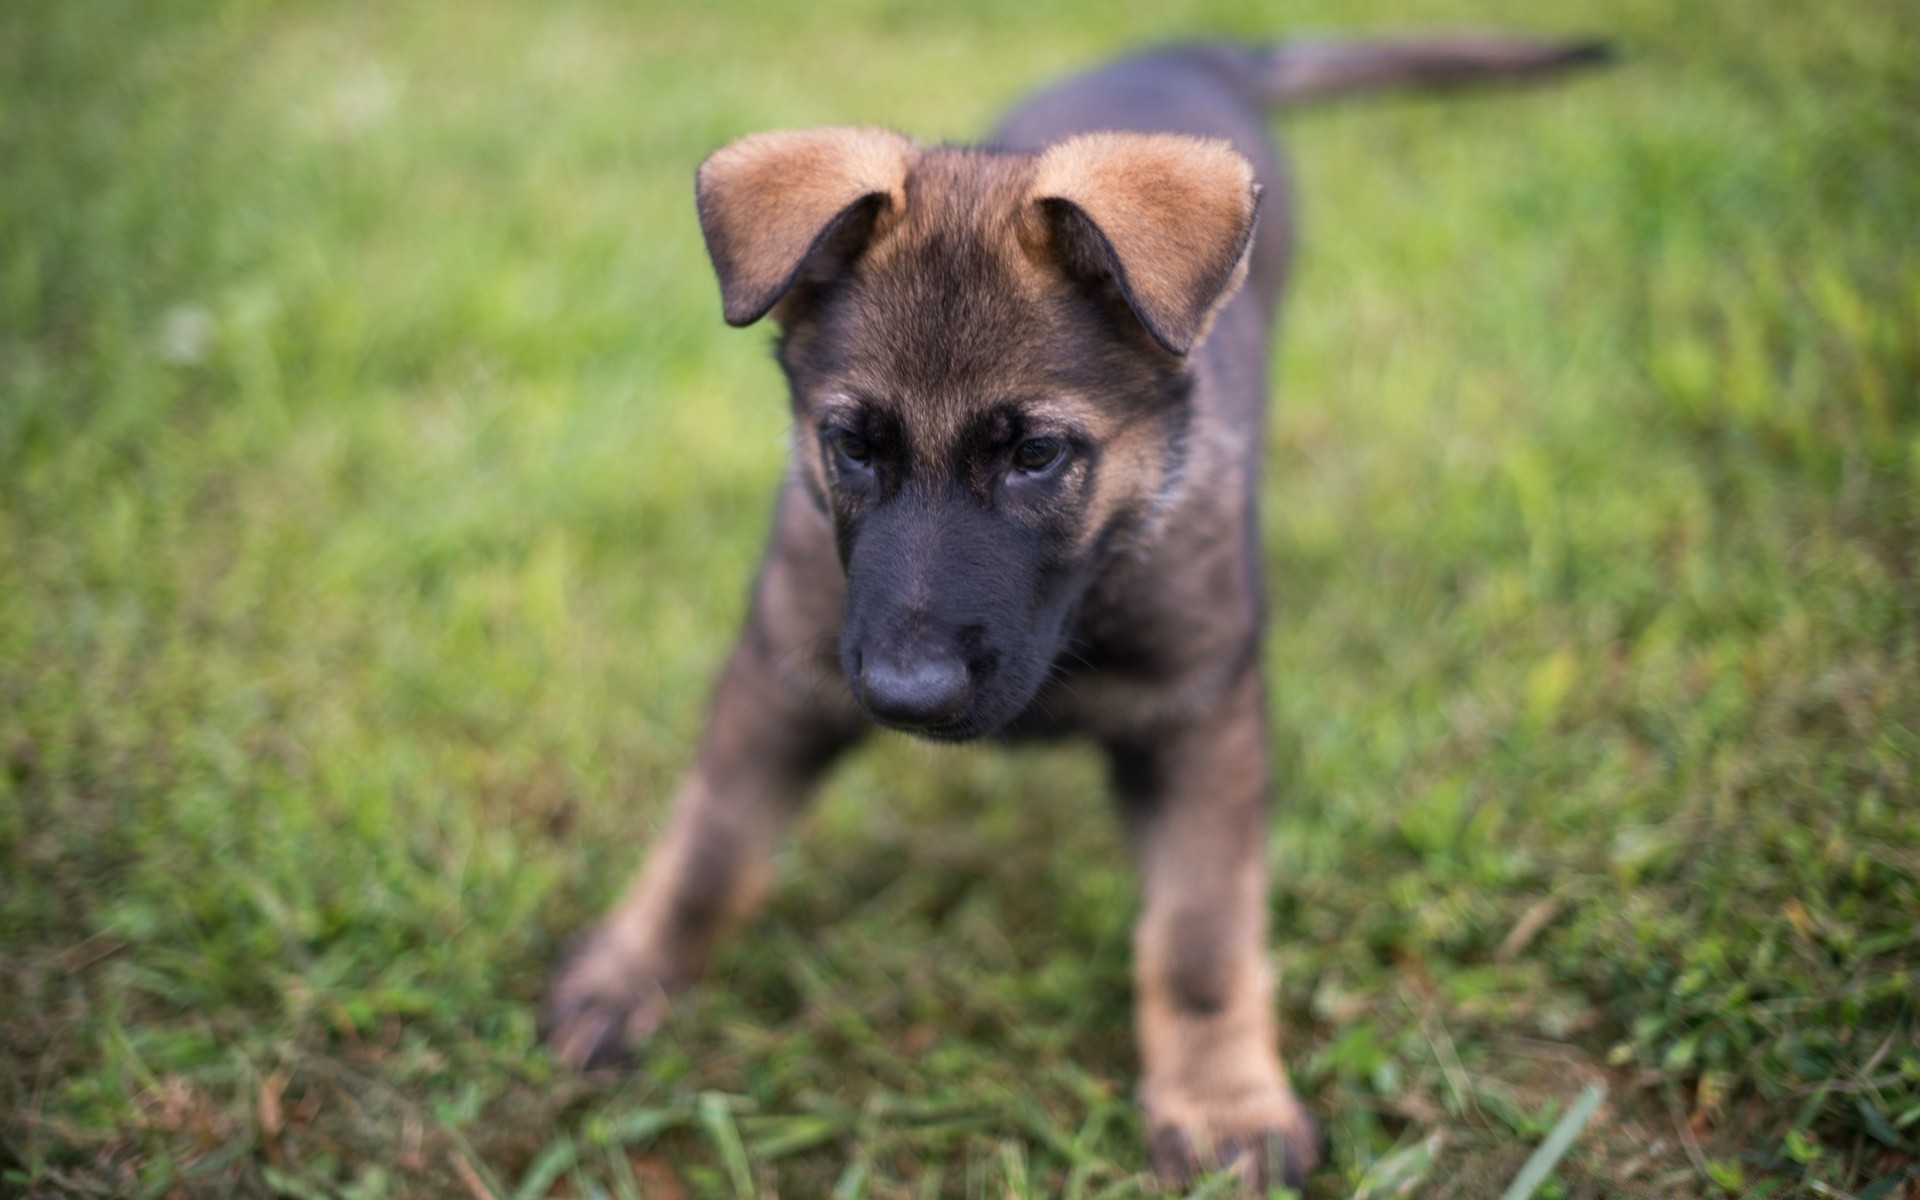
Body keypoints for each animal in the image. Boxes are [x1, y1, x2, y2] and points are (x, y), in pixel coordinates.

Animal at [545, 32, 1605, 1182]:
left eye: (1038, 456)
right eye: (853, 445)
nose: (907, 697)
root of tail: (1183, 50)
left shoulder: (1199, 719)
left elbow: (1199, 936)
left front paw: (1222, 1098)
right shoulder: (787, 670)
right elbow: (711, 841)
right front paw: (632, 972)